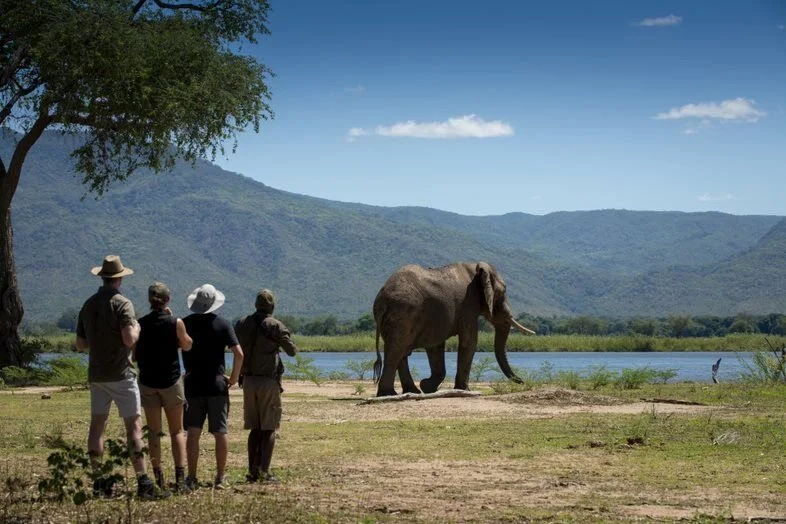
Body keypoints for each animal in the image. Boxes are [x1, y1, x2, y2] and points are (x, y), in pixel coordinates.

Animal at [372, 261, 535, 397]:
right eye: (504, 291)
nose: (523, 381)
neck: (475, 268)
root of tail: (381, 301)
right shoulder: (468, 304)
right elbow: (469, 342)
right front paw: (464, 390)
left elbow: (435, 345)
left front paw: (427, 386)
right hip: (403, 315)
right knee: (397, 350)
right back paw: (388, 394)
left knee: (401, 352)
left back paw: (413, 391)